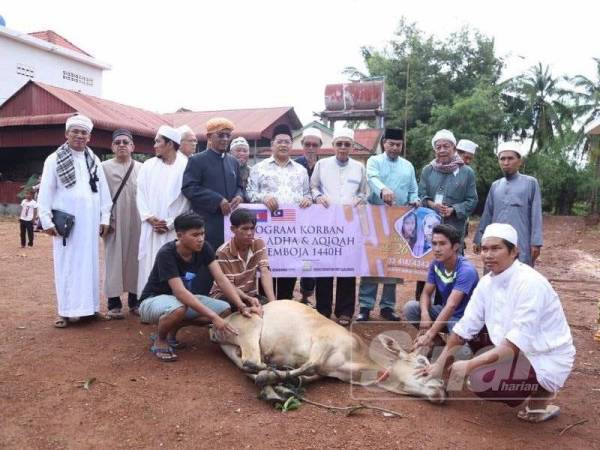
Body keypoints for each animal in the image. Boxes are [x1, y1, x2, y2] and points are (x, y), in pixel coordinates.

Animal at [209, 300, 448, 402]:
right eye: (422, 362)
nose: (443, 389)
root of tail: (221, 321)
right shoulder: (324, 341)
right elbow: (310, 365)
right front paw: (271, 377)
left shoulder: (326, 371)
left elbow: (307, 376)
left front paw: (282, 382)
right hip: (251, 326)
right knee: (252, 361)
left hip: (233, 348)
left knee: (247, 365)